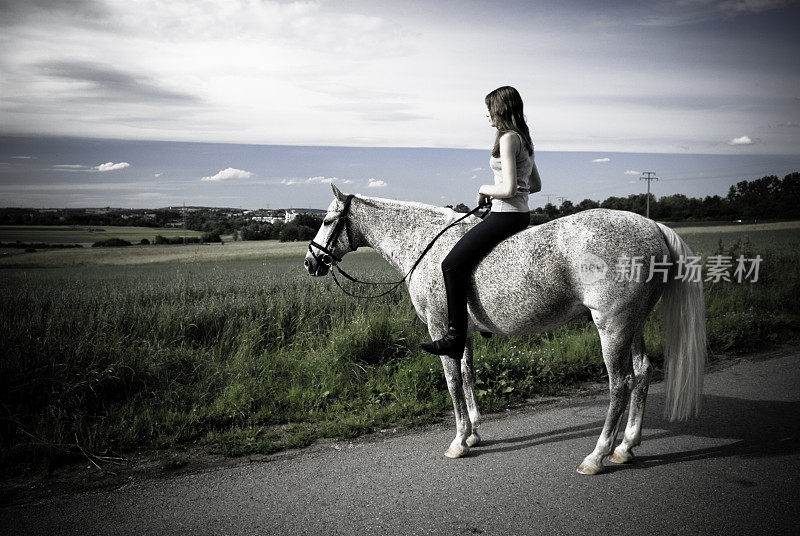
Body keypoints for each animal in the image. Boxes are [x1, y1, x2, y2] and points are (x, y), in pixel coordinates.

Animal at [304, 186, 704, 476]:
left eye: (328, 220)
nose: (310, 262)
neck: (425, 243)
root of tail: (653, 227)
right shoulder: (461, 332)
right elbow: (467, 374)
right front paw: (474, 432)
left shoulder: (439, 327)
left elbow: (452, 380)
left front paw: (459, 441)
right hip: (632, 324)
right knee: (642, 373)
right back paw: (626, 447)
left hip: (612, 326)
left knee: (621, 384)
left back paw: (597, 456)